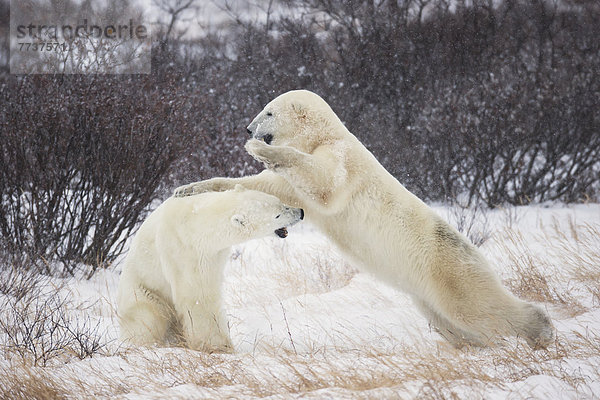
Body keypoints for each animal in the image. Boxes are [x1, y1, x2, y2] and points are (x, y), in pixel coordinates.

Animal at [118, 186, 304, 352]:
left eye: (281, 202)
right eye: (277, 214)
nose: (300, 212)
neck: (199, 222)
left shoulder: (216, 252)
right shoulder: (184, 250)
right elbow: (198, 297)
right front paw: (219, 346)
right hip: (143, 292)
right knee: (148, 317)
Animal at [176, 89, 556, 348]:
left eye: (268, 111)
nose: (248, 127)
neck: (324, 135)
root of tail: (472, 250)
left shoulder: (342, 157)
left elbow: (325, 184)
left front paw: (261, 150)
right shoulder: (299, 183)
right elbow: (270, 189)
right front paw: (187, 189)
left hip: (449, 270)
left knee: (480, 308)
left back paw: (542, 331)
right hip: (426, 292)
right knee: (453, 321)